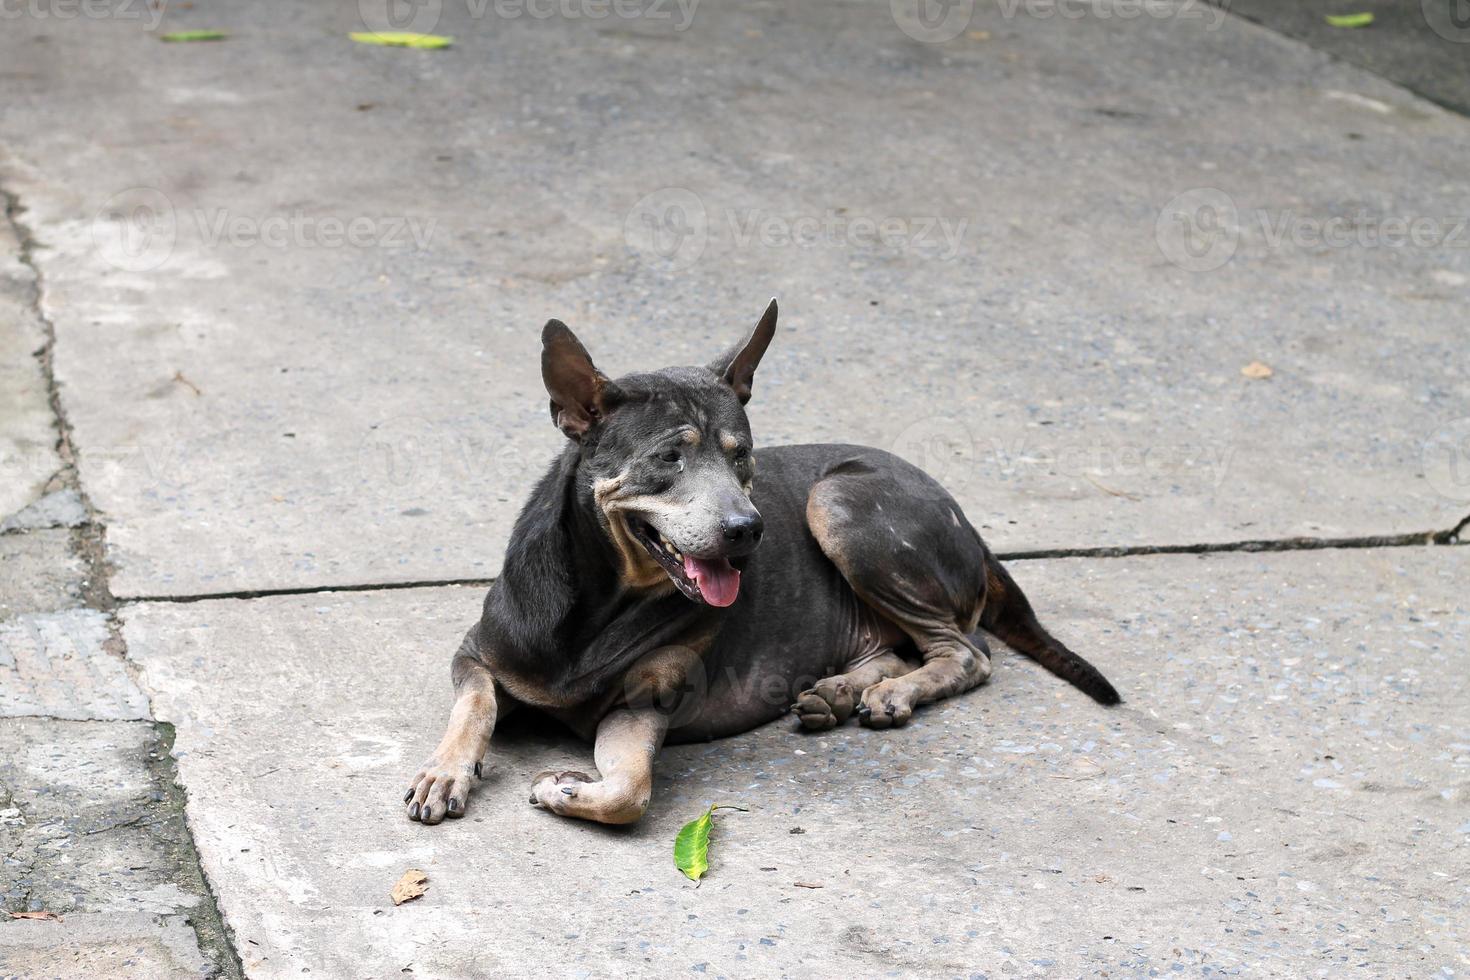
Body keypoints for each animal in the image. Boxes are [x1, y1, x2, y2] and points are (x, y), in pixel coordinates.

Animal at [402, 302, 1111, 822]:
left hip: (839, 502)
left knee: (965, 653)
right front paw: (446, 772)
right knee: (901, 648)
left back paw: (889, 693)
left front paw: (565, 786)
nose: (749, 529)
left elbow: (629, 791)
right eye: (669, 457)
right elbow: (475, 706)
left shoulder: (645, 702)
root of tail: (970, 523)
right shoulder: (476, 654)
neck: (603, 600)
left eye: (741, 453)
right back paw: (837, 692)